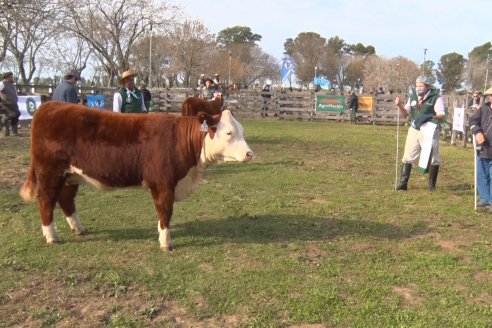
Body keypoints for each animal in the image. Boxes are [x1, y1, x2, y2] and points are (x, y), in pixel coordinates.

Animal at [19, 101, 254, 250]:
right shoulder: (163, 184)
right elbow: (165, 213)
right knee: (46, 201)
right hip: (49, 172)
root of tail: (50, 105)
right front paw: (165, 242)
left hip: (71, 175)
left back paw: (79, 229)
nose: (250, 154)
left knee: (66, 199)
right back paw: (52, 237)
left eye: (241, 131)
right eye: (229, 133)